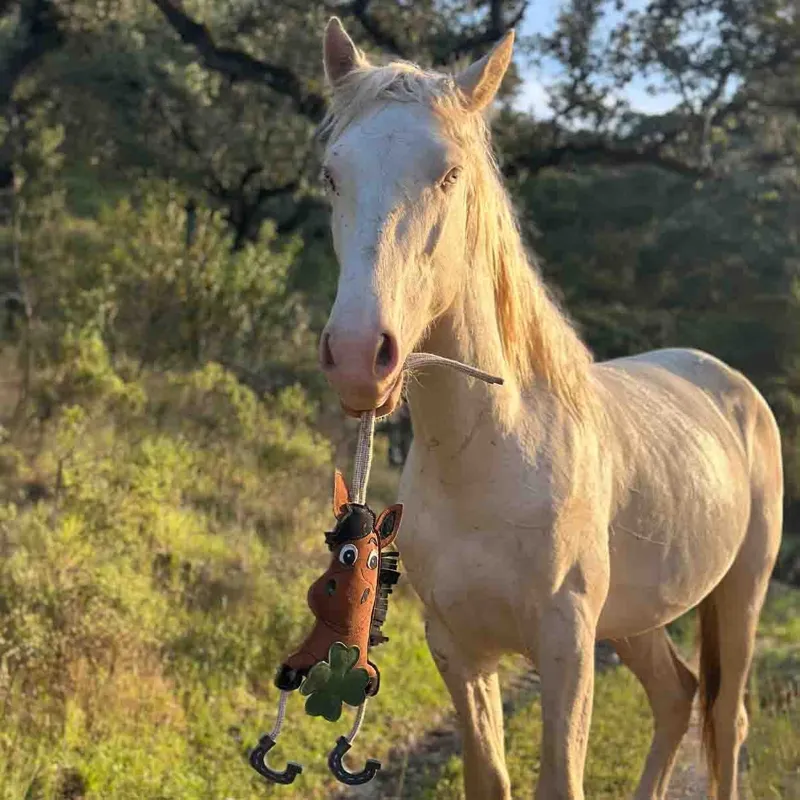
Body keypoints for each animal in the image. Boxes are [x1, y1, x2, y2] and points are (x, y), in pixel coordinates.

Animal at [315, 17, 783, 800]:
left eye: (449, 174)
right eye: (331, 174)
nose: (357, 355)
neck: (494, 454)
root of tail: (728, 382)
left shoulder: (567, 647)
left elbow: (560, 780)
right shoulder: (459, 649)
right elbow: (490, 777)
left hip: (741, 593)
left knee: (726, 717)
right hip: (635, 619)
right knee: (677, 696)